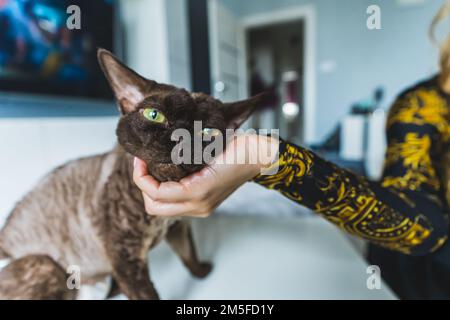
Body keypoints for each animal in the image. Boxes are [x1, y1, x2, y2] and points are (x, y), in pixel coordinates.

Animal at [0, 48, 266, 298]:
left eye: (207, 131)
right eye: (154, 115)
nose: (179, 138)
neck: (158, 220)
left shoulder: (177, 226)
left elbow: (188, 254)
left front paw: (201, 272)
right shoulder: (125, 259)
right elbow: (147, 293)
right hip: (46, 265)